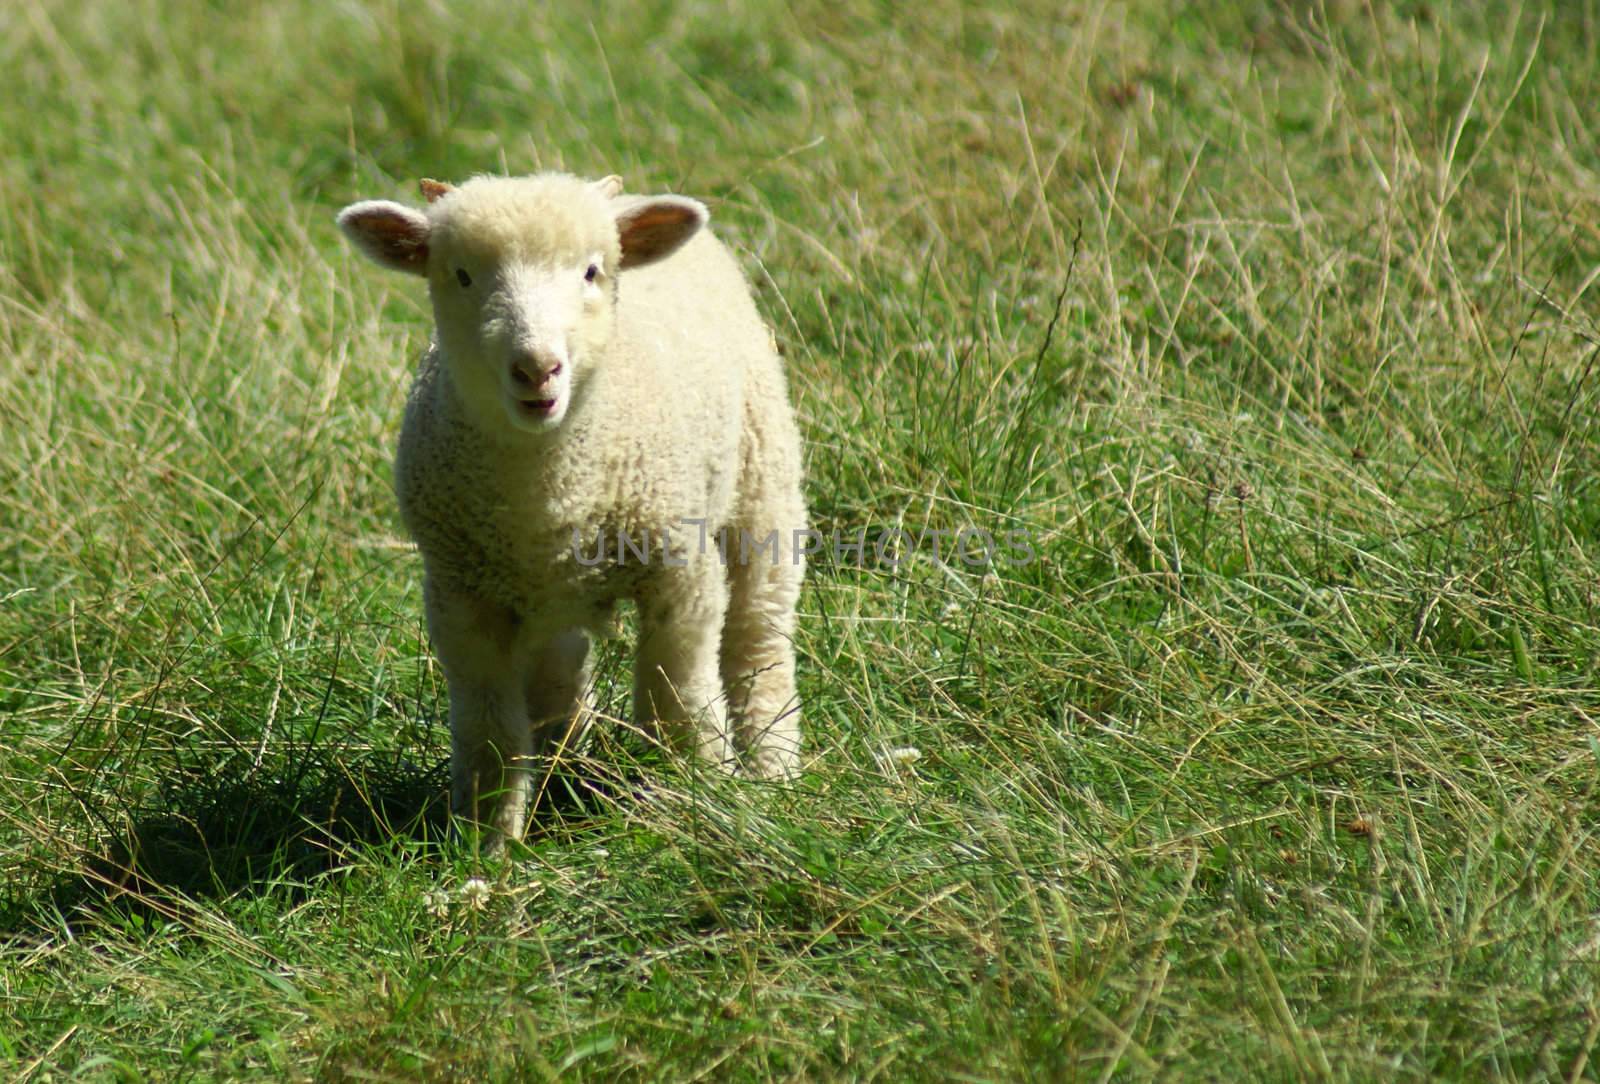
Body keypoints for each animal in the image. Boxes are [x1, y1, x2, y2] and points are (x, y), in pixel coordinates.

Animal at [339, 174, 812, 844]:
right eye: (462, 275)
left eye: (592, 271)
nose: (537, 368)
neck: (551, 484)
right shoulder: (460, 595)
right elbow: (488, 728)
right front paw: (486, 843)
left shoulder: (680, 568)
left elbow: (679, 698)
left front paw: (700, 797)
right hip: (546, 596)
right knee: (558, 678)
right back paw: (564, 780)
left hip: (762, 484)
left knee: (757, 639)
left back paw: (775, 770)